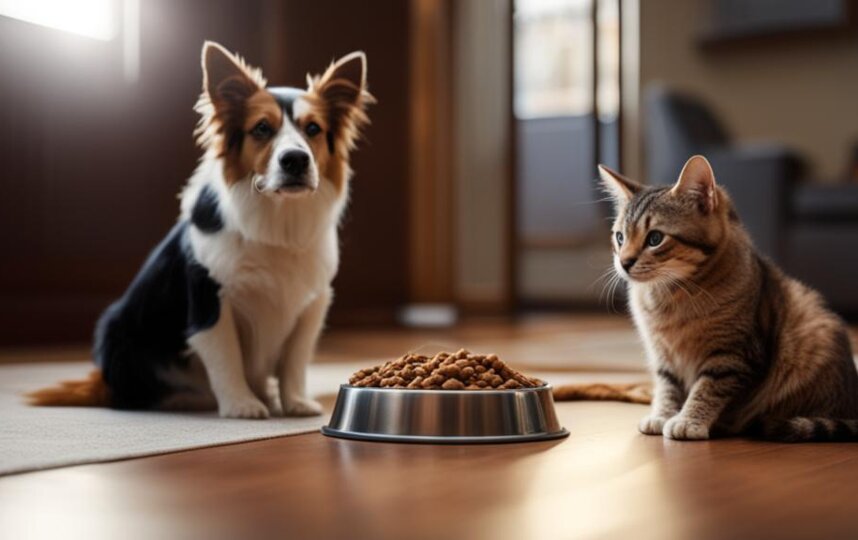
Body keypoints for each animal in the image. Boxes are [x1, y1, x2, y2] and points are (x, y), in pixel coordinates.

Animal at [29, 41, 372, 418]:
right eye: (261, 129)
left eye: (313, 129)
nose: (295, 159)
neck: (278, 216)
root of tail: (101, 379)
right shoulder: (209, 298)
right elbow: (227, 359)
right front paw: (241, 405)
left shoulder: (312, 304)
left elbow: (294, 362)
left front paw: (295, 402)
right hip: (116, 329)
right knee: (134, 395)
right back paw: (189, 399)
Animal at [568, 154, 856, 440]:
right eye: (620, 237)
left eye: (655, 238)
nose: (624, 262)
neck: (670, 295)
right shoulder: (663, 355)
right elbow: (667, 386)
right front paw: (663, 415)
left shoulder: (732, 356)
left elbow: (708, 388)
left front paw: (688, 420)